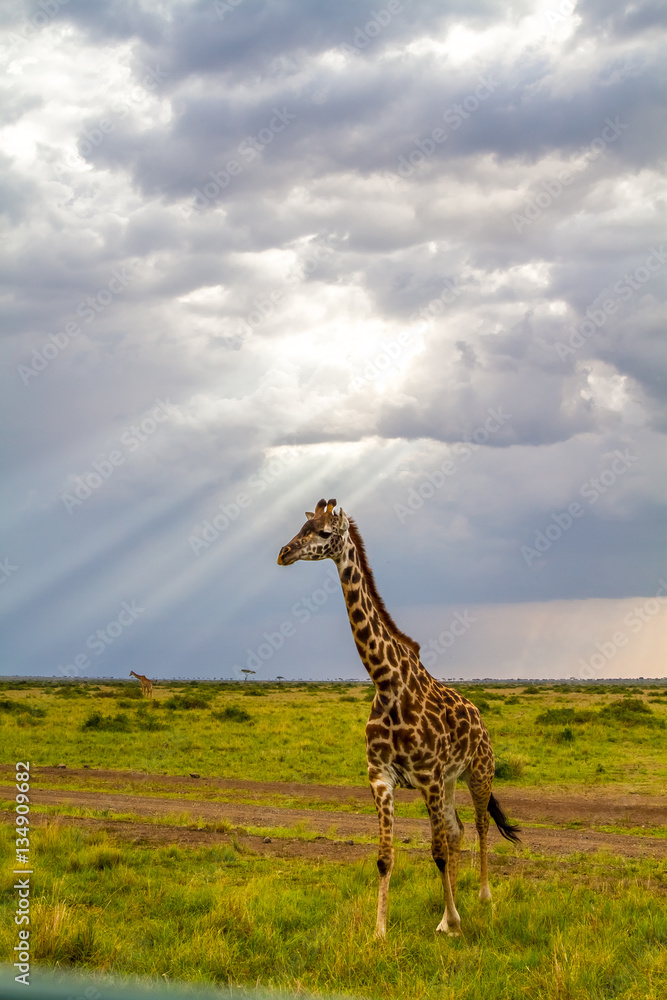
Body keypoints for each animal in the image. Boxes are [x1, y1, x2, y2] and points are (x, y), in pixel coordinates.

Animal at [277, 498, 520, 937]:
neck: (387, 682)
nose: (284, 553)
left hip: (479, 772)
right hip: (450, 781)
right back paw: (451, 906)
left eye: (323, 532)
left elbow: (436, 850)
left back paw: (481, 898)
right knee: (457, 830)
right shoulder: (381, 779)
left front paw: (451, 922)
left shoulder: (427, 777)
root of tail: (479, 717)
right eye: (301, 527)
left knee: (478, 826)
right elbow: (386, 857)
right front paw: (381, 931)